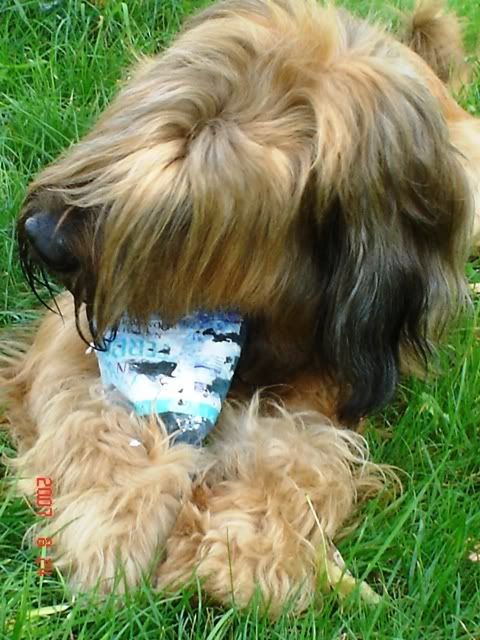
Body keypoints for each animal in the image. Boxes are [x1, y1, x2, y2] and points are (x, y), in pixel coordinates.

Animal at [1, 0, 479, 615]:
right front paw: (117, 525)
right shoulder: (69, 336)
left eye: (185, 215)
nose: (42, 236)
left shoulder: (339, 371)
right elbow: (92, 414)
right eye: (126, 122)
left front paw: (240, 554)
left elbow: (298, 450)